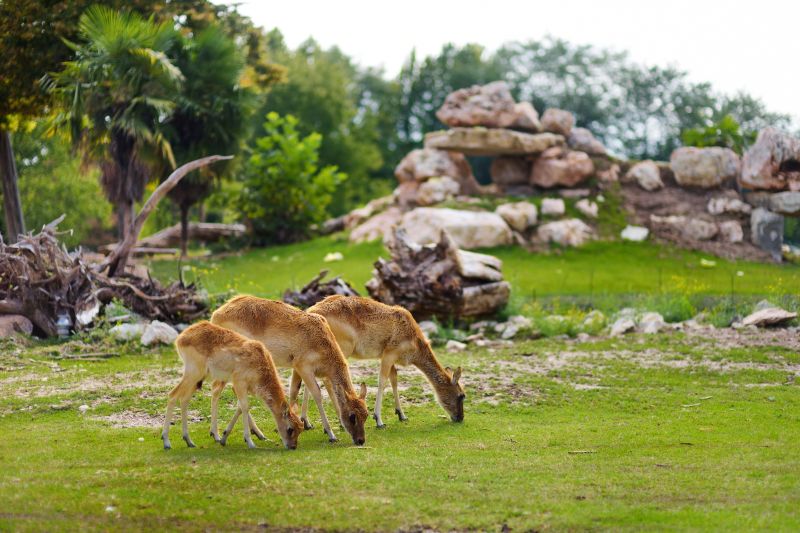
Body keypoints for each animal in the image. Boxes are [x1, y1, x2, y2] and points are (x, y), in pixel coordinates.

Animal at [160, 320, 304, 448]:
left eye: (300, 429)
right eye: (290, 429)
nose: (293, 447)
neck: (260, 362)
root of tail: (181, 337)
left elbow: (240, 407)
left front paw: (224, 437)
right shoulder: (239, 383)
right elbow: (245, 406)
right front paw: (250, 442)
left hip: (197, 379)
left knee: (184, 399)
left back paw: (189, 441)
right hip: (192, 374)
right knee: (173, 395)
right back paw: (166, 442)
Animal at [208, 296, 368, 444]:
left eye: (366, 414)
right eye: (352, 416)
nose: (360, 440)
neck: (322, 340)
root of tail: (217, 314)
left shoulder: (296, 369)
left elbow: (293, 392)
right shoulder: (304, 367)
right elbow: (317, 394)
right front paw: (331, 434)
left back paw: (258, 434)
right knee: (216, 389)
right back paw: (216, 434)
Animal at [304, 296, 466, 428]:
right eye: (461, 395)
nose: (460, 418)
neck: (414, 339)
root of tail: (312, 311)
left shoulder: (389, 358)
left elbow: (394, 379)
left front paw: (402, 415)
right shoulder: (389, 354)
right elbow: (382, 381)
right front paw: (379, 420)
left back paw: (307, 423)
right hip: (342, 350)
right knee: (327, 381)